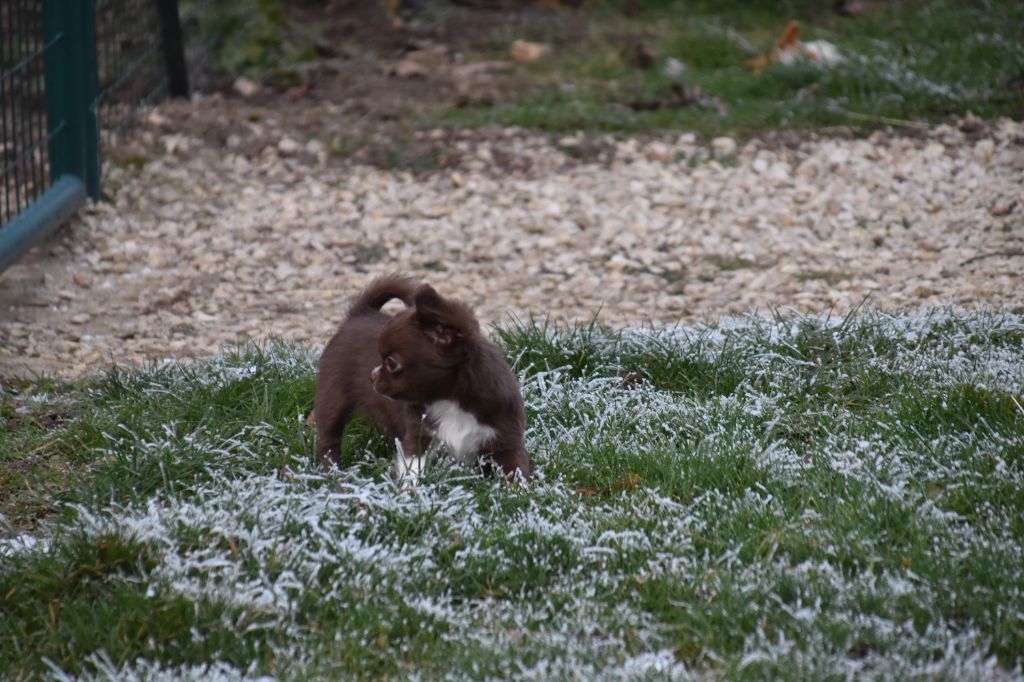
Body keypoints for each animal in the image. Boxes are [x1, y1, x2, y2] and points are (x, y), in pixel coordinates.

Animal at [315, 274, 532, 481]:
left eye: (391, 363)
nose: (371, 376)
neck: (450, 400)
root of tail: (360, 313)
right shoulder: (418, 436)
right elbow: (412, 468)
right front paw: (410, 491)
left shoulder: (505, 439)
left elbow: (517, 472)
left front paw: (521, 491)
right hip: (333, 397)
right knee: (328, 440)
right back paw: (334, 474)